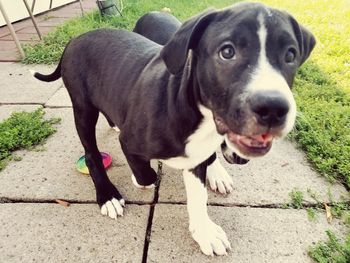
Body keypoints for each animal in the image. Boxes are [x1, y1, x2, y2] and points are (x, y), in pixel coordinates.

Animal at [33, 2, 314, 258]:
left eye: (290, 55)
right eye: (227, 52)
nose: (273, 108)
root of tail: (75, 40)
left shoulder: (197, 156)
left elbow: (198, 195)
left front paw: (204, 231)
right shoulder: (131, 141)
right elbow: (146, 174)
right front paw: (140, 179)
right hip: (82, 107)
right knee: (91, 154)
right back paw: (108, 195)